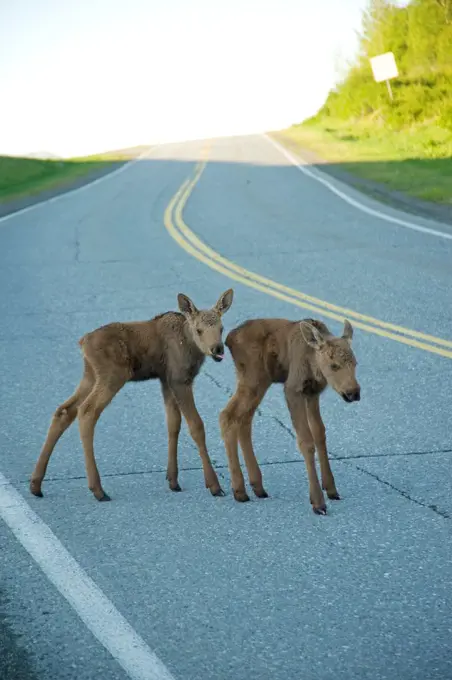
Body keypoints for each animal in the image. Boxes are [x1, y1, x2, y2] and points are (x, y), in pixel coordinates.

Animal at [29, 290, 233, 502]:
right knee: (87, 411)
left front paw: (173, 480)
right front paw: (214, 485)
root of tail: (82, 342)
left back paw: (36, 484)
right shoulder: (179, 379)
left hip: (90, 375)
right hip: (113, 375)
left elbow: (173, 424)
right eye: (199, 330)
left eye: (221, 328)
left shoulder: (166, 380)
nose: (217, 349)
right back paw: (98, 489)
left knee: (65, 410)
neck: (192, 347)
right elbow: (196, 426)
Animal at [219, 318, 360, 516]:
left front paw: (331, 488)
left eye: (355, 363)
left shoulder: (312, 393)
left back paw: (257, 486)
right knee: (227, 415)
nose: (353, 393)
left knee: (245, 419)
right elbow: (306, 441)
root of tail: (229, 339)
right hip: (253, 379)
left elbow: (320, 433)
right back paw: (239, 490)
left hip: (261, 381)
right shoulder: (293, 389)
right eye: (334, 365)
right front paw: (318, 501)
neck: (314, 364)